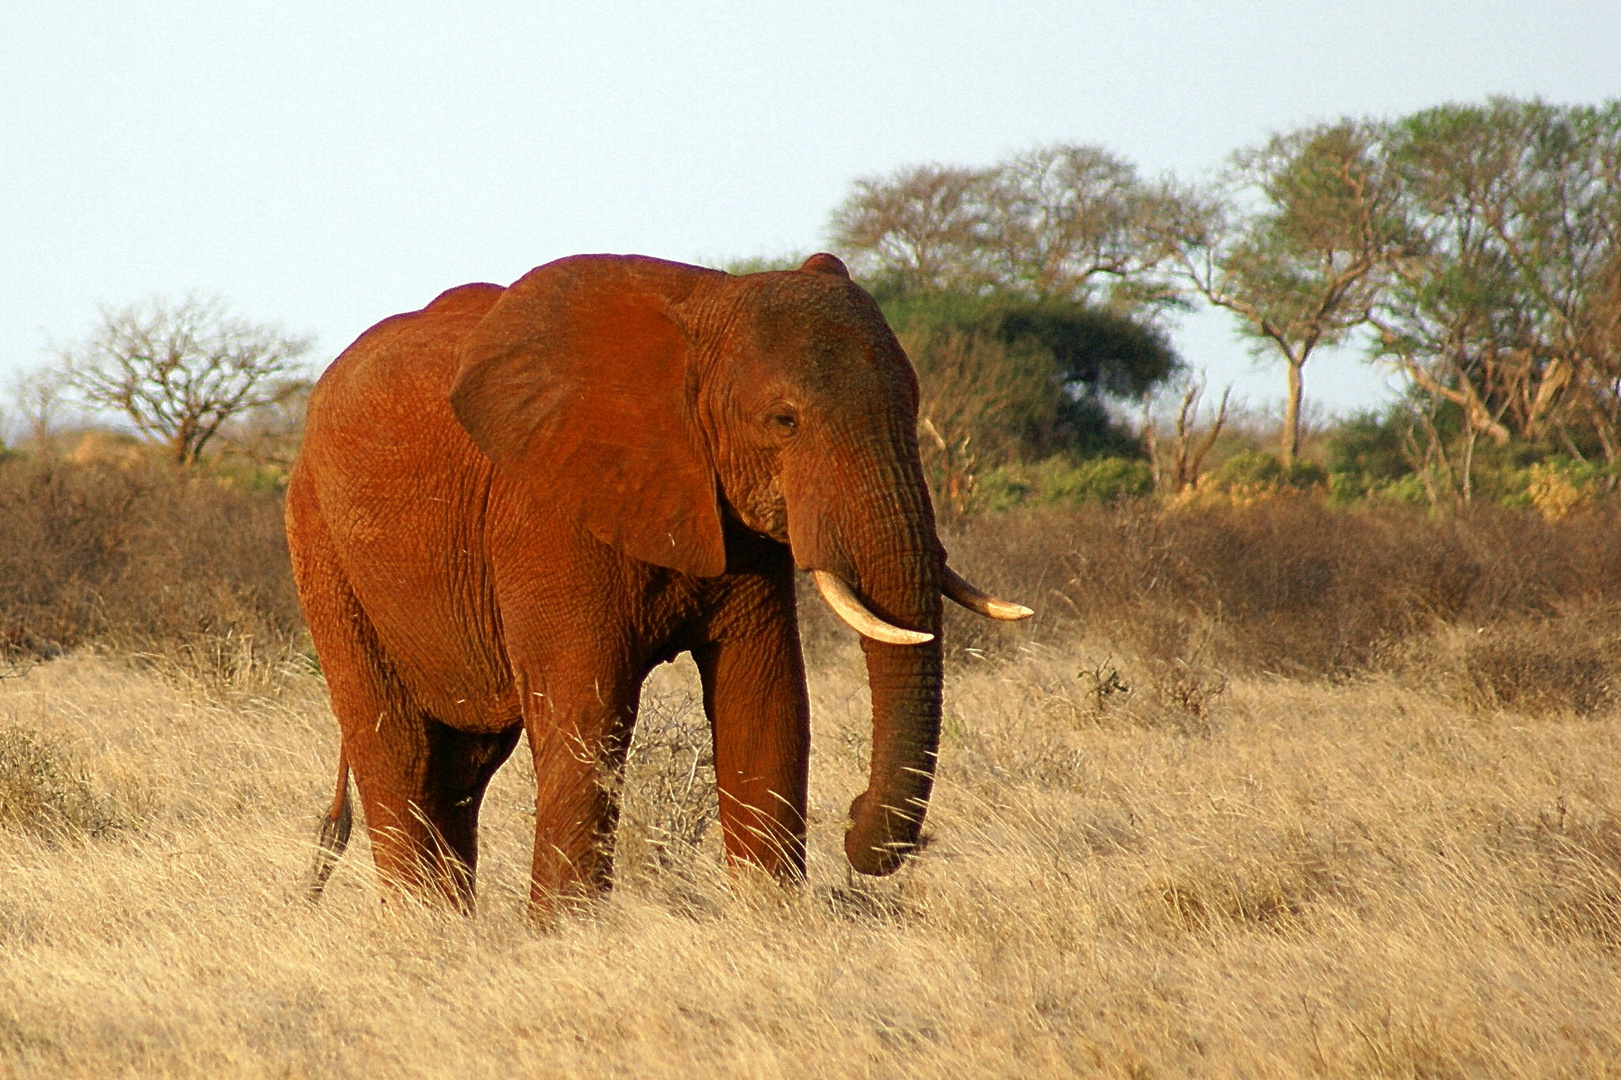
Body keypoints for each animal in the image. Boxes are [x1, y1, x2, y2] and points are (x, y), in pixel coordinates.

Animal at [285, 252, 1030, 914]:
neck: (703, 311)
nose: (852, 819)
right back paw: (425, 931)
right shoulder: (547, 507)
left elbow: (765, 703)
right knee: (398, 750)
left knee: (462, 767)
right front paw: (568, 941)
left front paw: (771, 925)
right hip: (322, 546)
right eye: (783, 421)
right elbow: (587, 717)